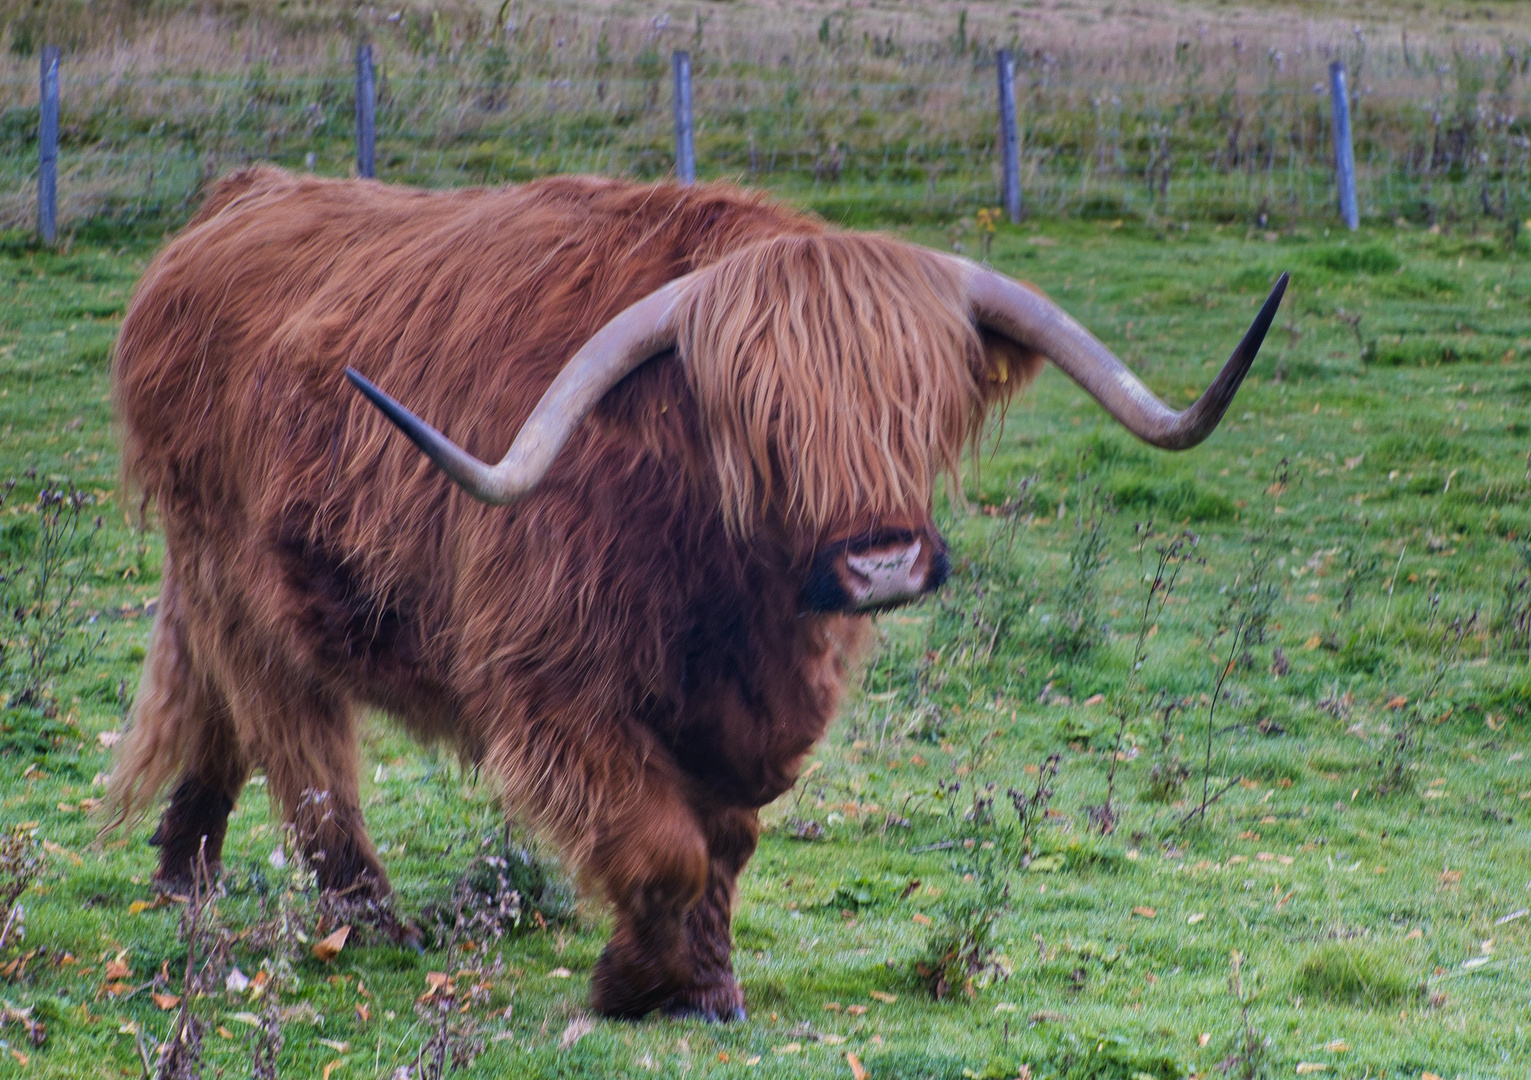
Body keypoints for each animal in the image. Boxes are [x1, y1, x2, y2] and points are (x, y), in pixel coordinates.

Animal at [104, 163, 1279, 1017]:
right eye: (765, 418)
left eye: (921, 402)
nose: (880, 562)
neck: (725, 585)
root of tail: (242, 197)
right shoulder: (550, 682)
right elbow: (661, 843)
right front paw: (634, 983)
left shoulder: (755, 708)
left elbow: (722, 842)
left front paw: (705, 985)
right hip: (243, 584)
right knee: (301, 750)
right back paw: (370, 919)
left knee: (218, 710)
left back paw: (182, 871)